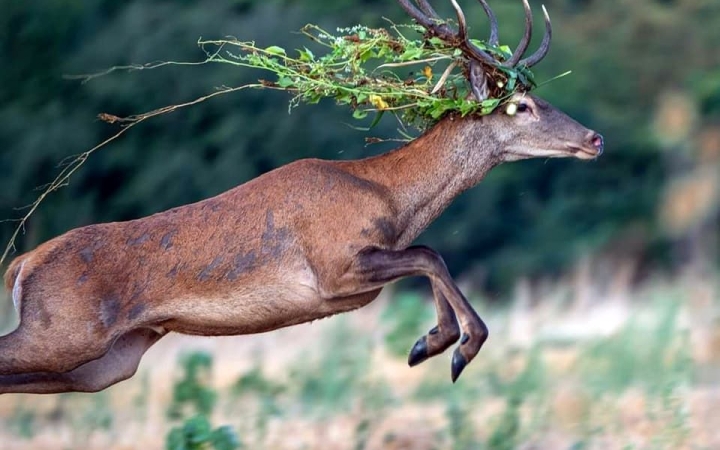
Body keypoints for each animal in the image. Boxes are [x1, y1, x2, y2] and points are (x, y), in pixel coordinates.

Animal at [0, 0, 600, 394]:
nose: (595, 138)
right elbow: (431, 254)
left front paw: (430, 342)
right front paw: (452, 347)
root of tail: (22, 264)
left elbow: (428, 256)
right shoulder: (334, 267)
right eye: (518, 106)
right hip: (66, 332)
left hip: (102, 365)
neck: (390, 197)